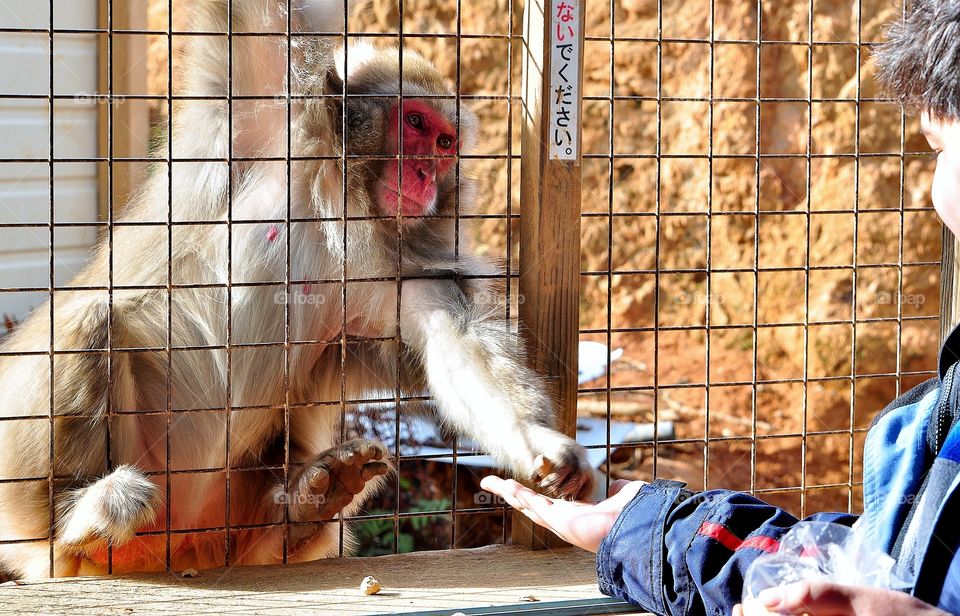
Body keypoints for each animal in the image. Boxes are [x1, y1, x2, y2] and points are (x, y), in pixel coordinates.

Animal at [0, 0, 592, 576]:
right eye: (415, 123)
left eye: (446, 143)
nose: (428, 173)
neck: (342, 200)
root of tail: (174, 542)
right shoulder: (263, 113)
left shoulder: (403, 268)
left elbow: (457, 344)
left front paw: (541, 445)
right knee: (91, 319)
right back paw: (81, 522)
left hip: (225, 516)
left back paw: (306, 509)